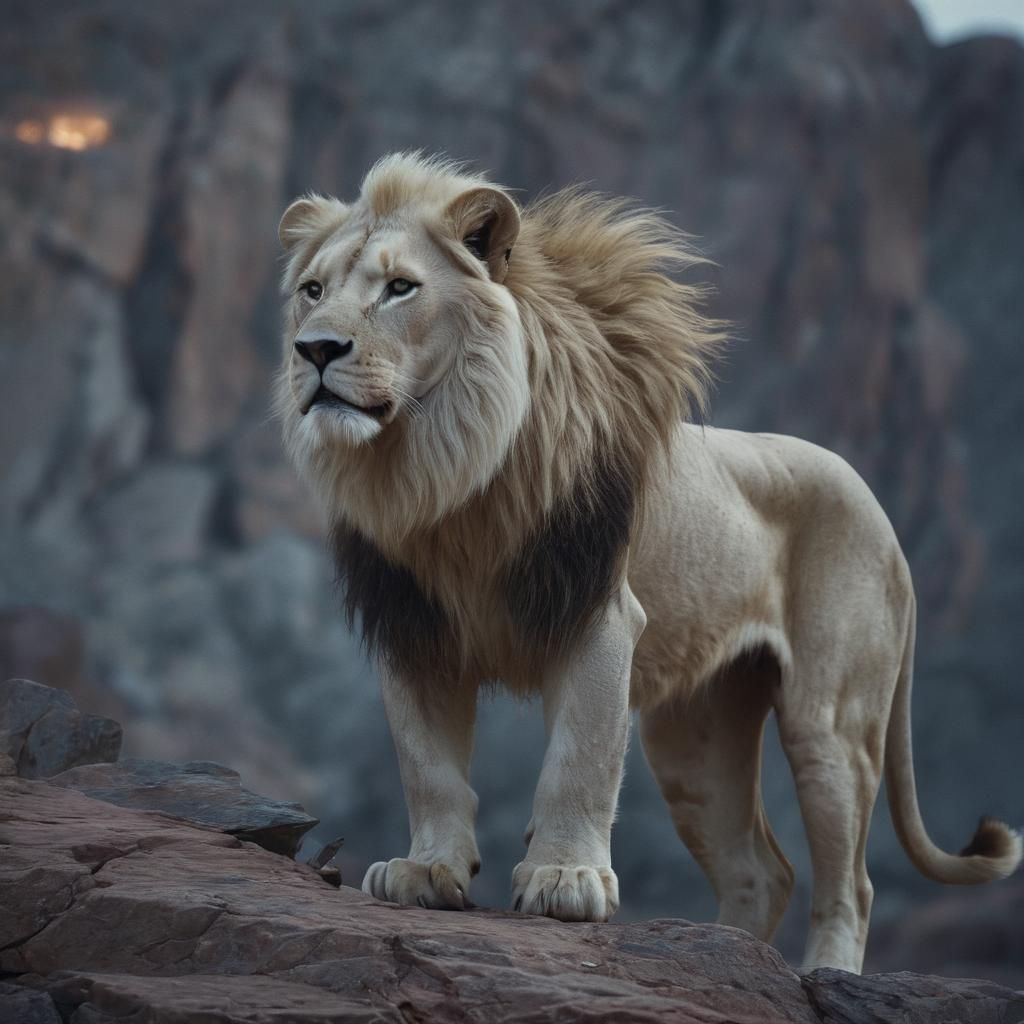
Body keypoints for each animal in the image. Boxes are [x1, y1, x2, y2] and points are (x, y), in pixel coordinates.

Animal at [275, 152, 1021, 974]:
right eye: (314, 290)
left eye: (400, 287)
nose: (315, 350)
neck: (442, 470)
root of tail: (883, 517)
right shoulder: (411, 626)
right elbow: (426, 765)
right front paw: (426, 870)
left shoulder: (599, 615)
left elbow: (580, 759)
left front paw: (565, 880)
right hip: (697, 737)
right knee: (761, 871)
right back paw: (721, 955)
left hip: (832, 719)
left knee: (850, 880)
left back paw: (821, 972)